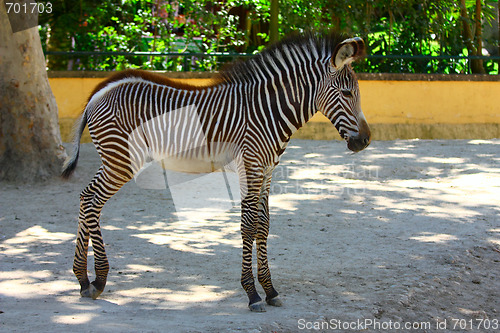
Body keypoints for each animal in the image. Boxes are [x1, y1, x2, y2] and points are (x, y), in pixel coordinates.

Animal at [61, 31, 372, 312]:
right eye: (346, 93)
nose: (366, 141)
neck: (268, 111)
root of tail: (100, 91)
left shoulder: (268, 170)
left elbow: (264, 225)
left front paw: (270, 290)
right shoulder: (251, 165)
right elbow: (249, 226)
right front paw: (252, 294)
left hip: (114, 159)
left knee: (85, 197)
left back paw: (82, 279)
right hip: (121, 159)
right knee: (93, 201)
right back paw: (99, 280)